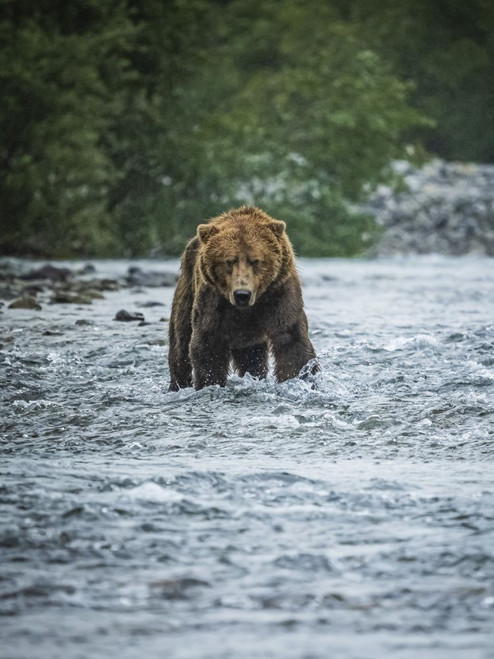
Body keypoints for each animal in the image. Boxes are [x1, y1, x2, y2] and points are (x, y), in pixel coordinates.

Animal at [168, 206, 318, 391]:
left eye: (256, 261)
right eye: (229, 261)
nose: (242, 294)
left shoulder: (279, 293)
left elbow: (291, 339)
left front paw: (300, 379)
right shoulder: (213, 300)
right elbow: (208, 343)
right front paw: (210, 383)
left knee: (253, 358)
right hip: (187, 289)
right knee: (180, 339)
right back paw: (178, 384)